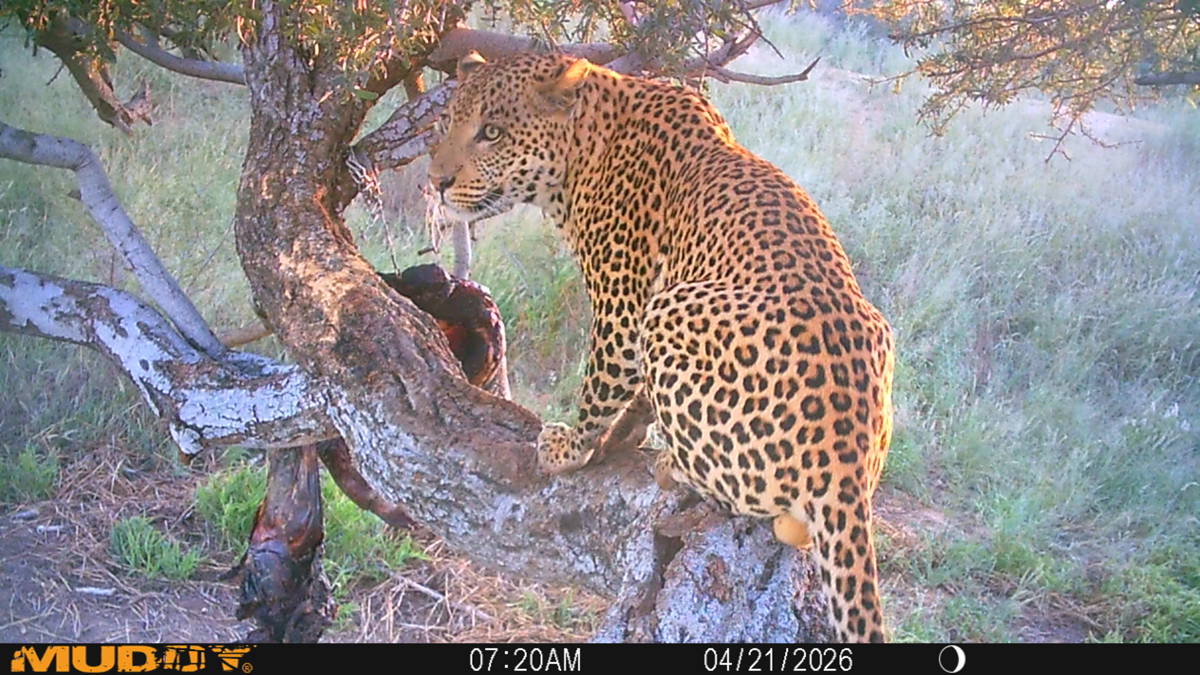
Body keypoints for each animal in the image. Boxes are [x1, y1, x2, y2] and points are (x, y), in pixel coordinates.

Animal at [428, 51, 895, 643]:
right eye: (447, 124)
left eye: (492, 133)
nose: (437, 181)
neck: (588, 141)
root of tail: (844, 465)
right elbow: (638, 398)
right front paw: (625, 435)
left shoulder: (624, 307)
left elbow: (600, 384)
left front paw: (570, 449)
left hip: (672, 308)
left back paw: (674, 467)